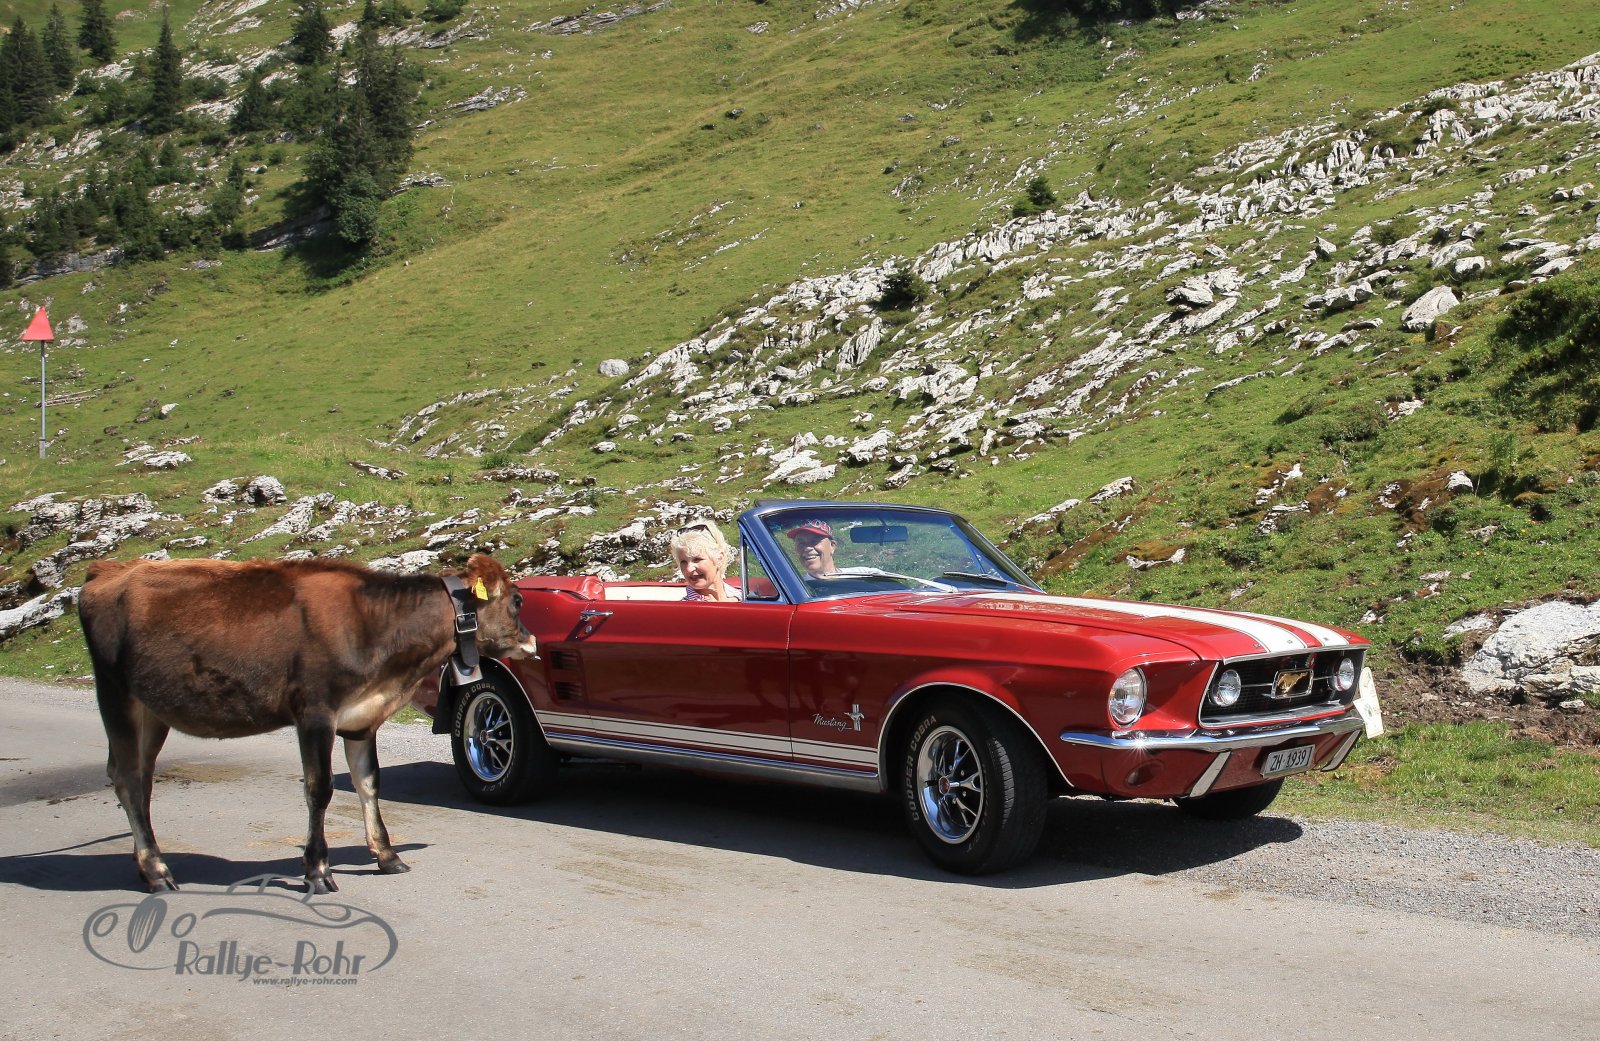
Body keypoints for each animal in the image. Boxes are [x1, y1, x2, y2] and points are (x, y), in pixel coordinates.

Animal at [78, 552, 536, 894]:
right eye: (517, 600)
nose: (532, 641)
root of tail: (109, 569)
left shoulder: (362, 717)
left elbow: (369, 783)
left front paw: (387, 856)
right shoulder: (315, 712)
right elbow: (320, 789)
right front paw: (317, 870)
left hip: (152, 709)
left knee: (141, 778)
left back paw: (146, 863)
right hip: (116, 695)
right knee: (127, 777)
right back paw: (157, 871)